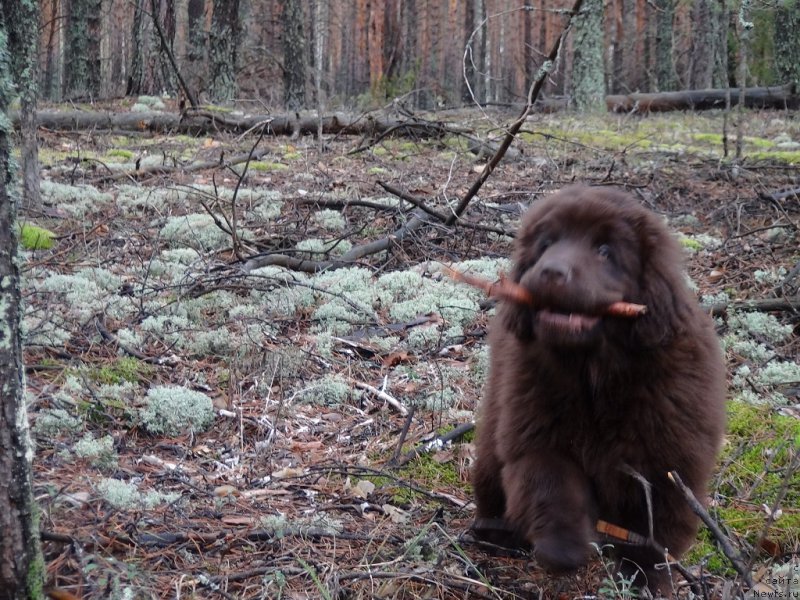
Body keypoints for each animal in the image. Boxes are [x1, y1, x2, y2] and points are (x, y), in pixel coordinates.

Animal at [472, 186, 728, 596]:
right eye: (546, 245)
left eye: (605, 250)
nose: (550, 272)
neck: (595, 372)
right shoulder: (534, 426)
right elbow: (550, 481)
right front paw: (564, 549)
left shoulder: (669, 458)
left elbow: (654, 527)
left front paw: (647, 580)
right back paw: (493, 532)